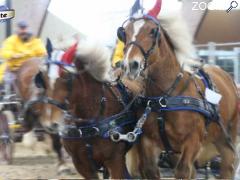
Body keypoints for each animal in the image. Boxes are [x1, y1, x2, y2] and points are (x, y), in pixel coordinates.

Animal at [120, 8, 238, 179]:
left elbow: (183, 171)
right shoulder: (148, 143)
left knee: (228, 166)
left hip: (227, 137)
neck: (164, 98)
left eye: (152, 31)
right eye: (125, 33)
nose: (130, 65)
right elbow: (151, 169)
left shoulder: (193, 141)